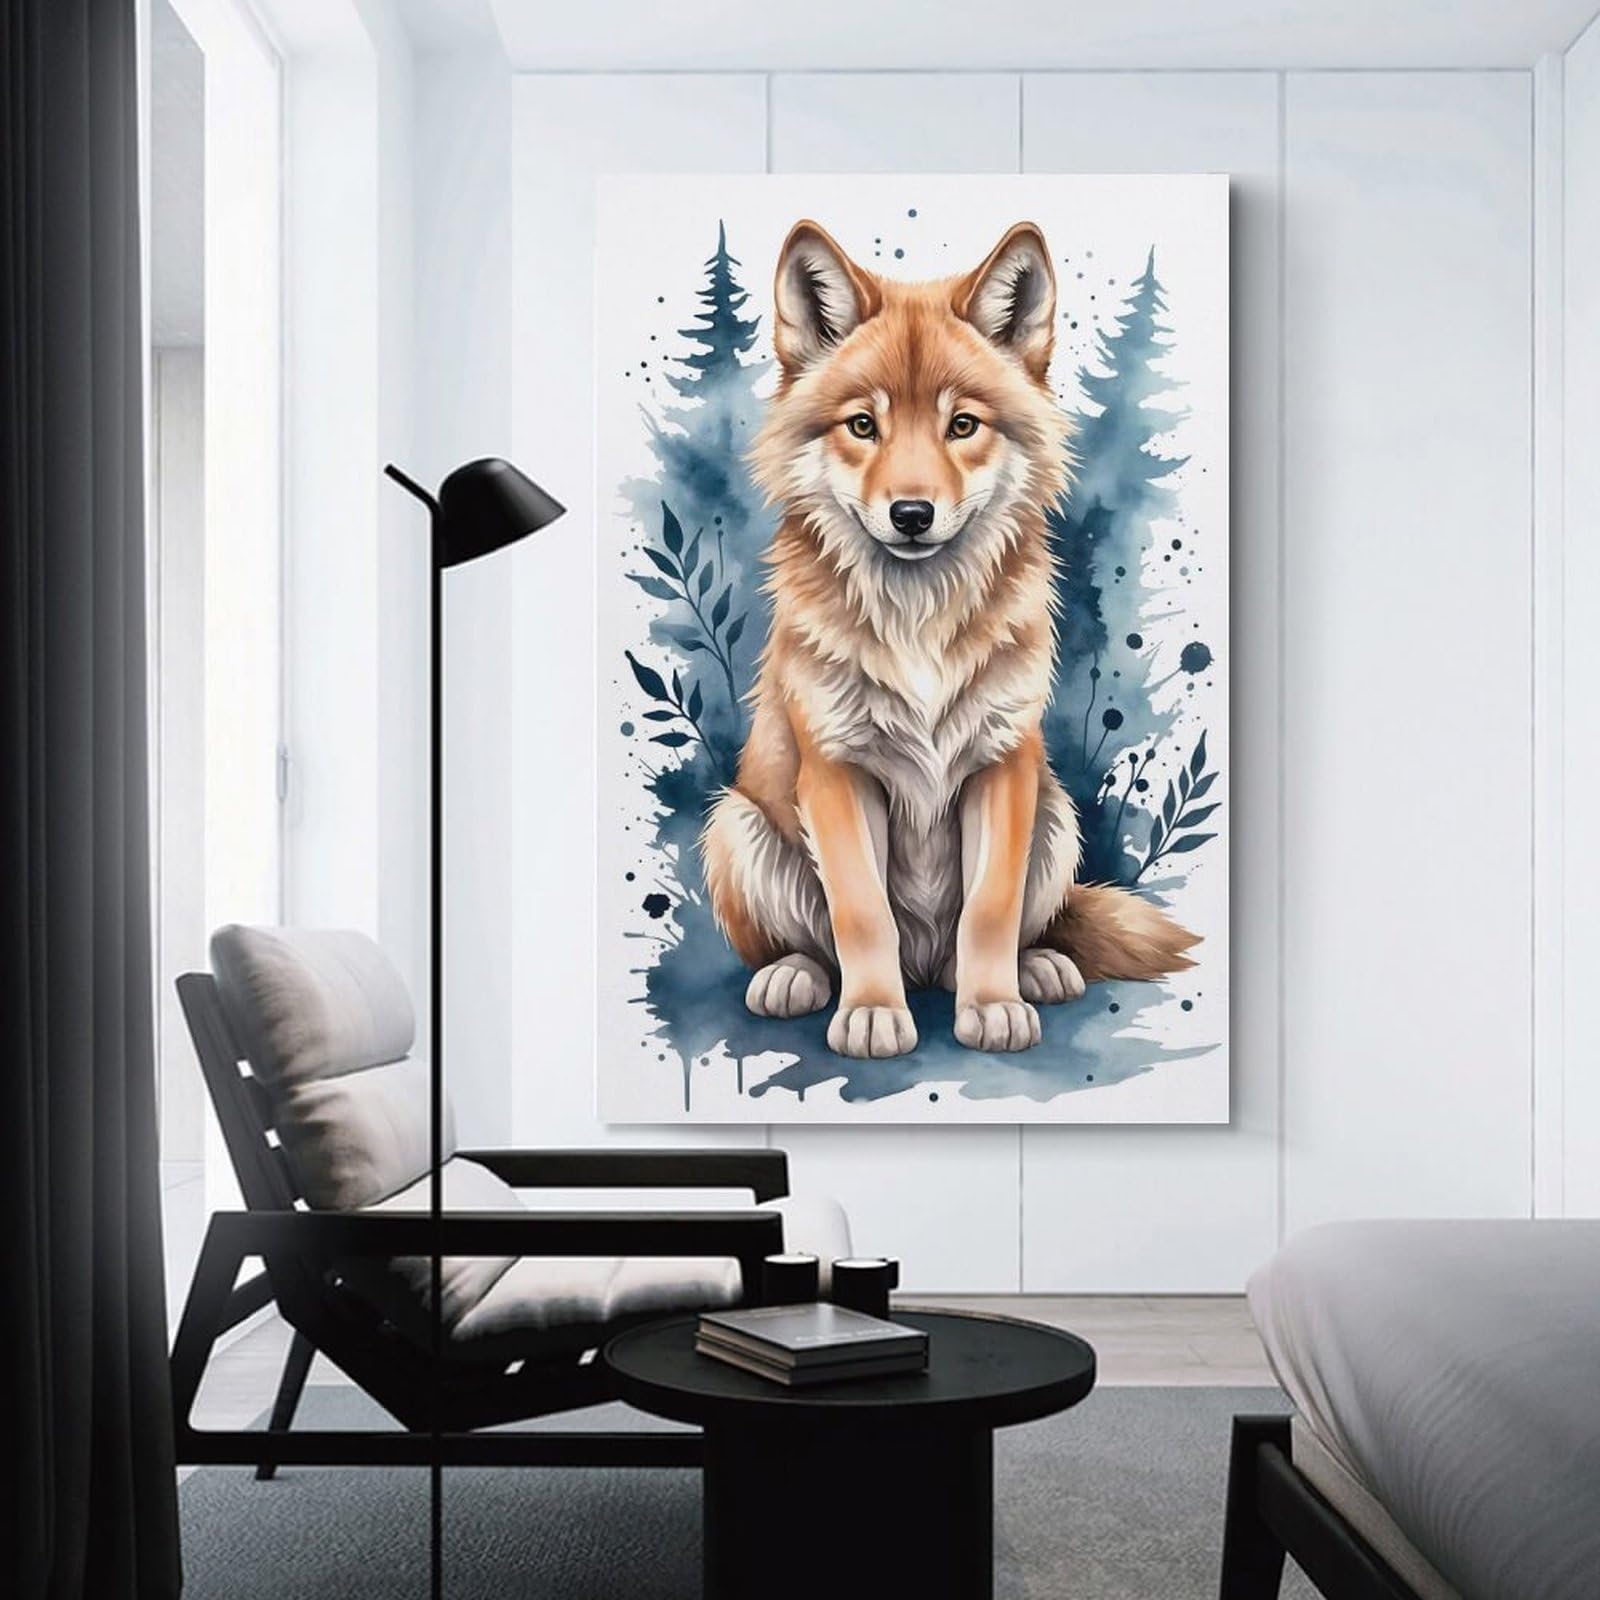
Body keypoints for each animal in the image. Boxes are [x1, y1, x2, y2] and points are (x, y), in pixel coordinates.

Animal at [699, 219, 1198, 1060]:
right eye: (863, 426)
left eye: (961, 425)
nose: (911, 514)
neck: (918, 619)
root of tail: (925, 967)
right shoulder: (837, 774)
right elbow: (860, 911)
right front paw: (873, 1014)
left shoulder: (1003, 766)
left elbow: (990, 909)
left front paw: (993, 1005)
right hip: (736, 825)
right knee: (809, 945)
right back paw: (795, 978)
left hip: (1055, 816)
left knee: (1009, 929)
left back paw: (1033, 970)